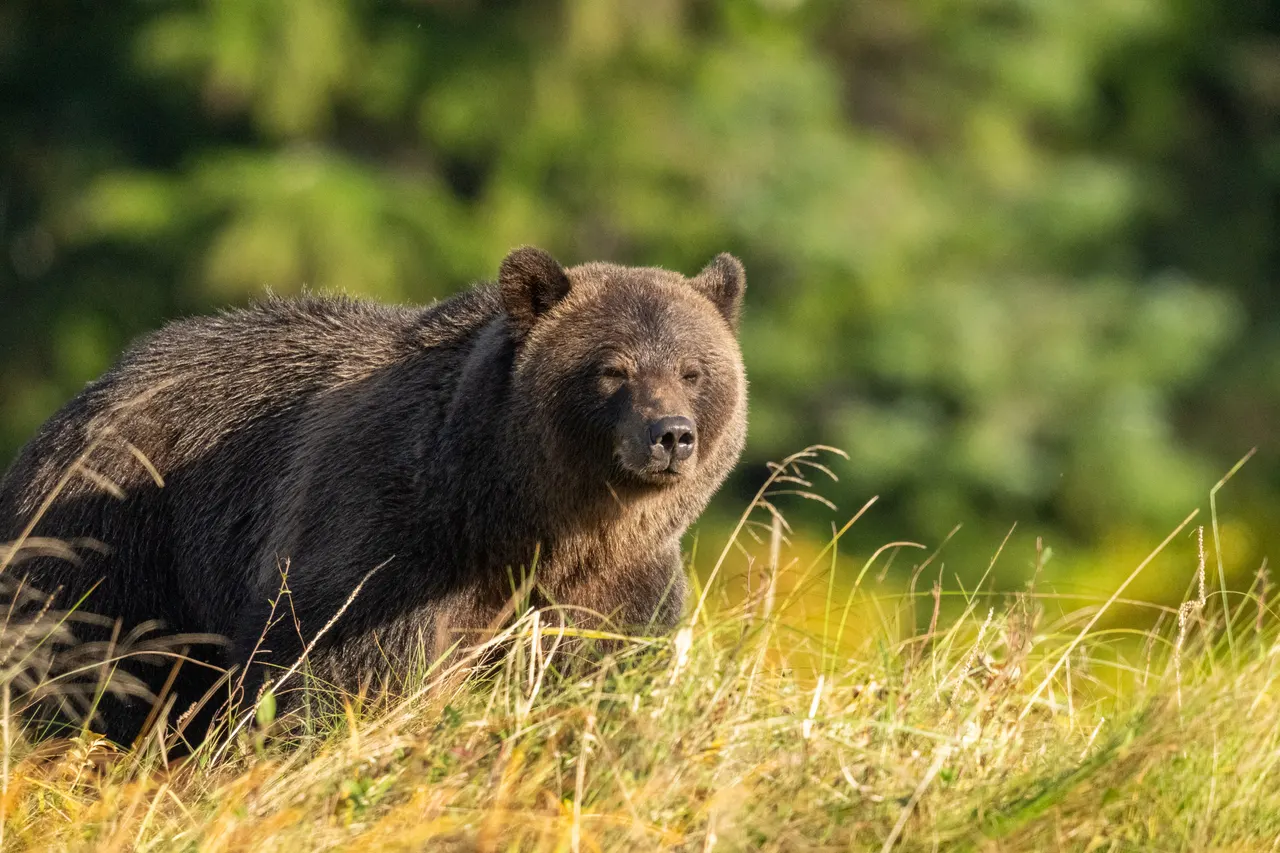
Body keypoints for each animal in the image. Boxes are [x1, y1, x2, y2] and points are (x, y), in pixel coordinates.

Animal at [0, 247, 748, 746]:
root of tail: (76, 404)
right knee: (93, 662)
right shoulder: (386, 534)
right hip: (116, 530)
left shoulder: (612, 577)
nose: (670, 434)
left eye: (693, 369)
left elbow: (604, 660)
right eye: (612, 369)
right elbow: (338, 669)